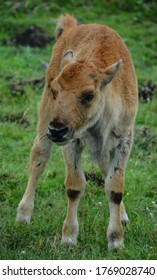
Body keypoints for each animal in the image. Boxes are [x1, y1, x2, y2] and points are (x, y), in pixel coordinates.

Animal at [16, 14, 138, 250]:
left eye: (88, 95)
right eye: (55, 89)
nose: (57, 129)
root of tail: (72, 27)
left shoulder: (123, 141)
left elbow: (114, 188)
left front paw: (116, 240)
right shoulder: (72, 142)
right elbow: (75, 186)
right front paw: (69, 238)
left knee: (104, 170)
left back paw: (124, 217)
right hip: (44, 123)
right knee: (38, 159)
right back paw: (23, 215)